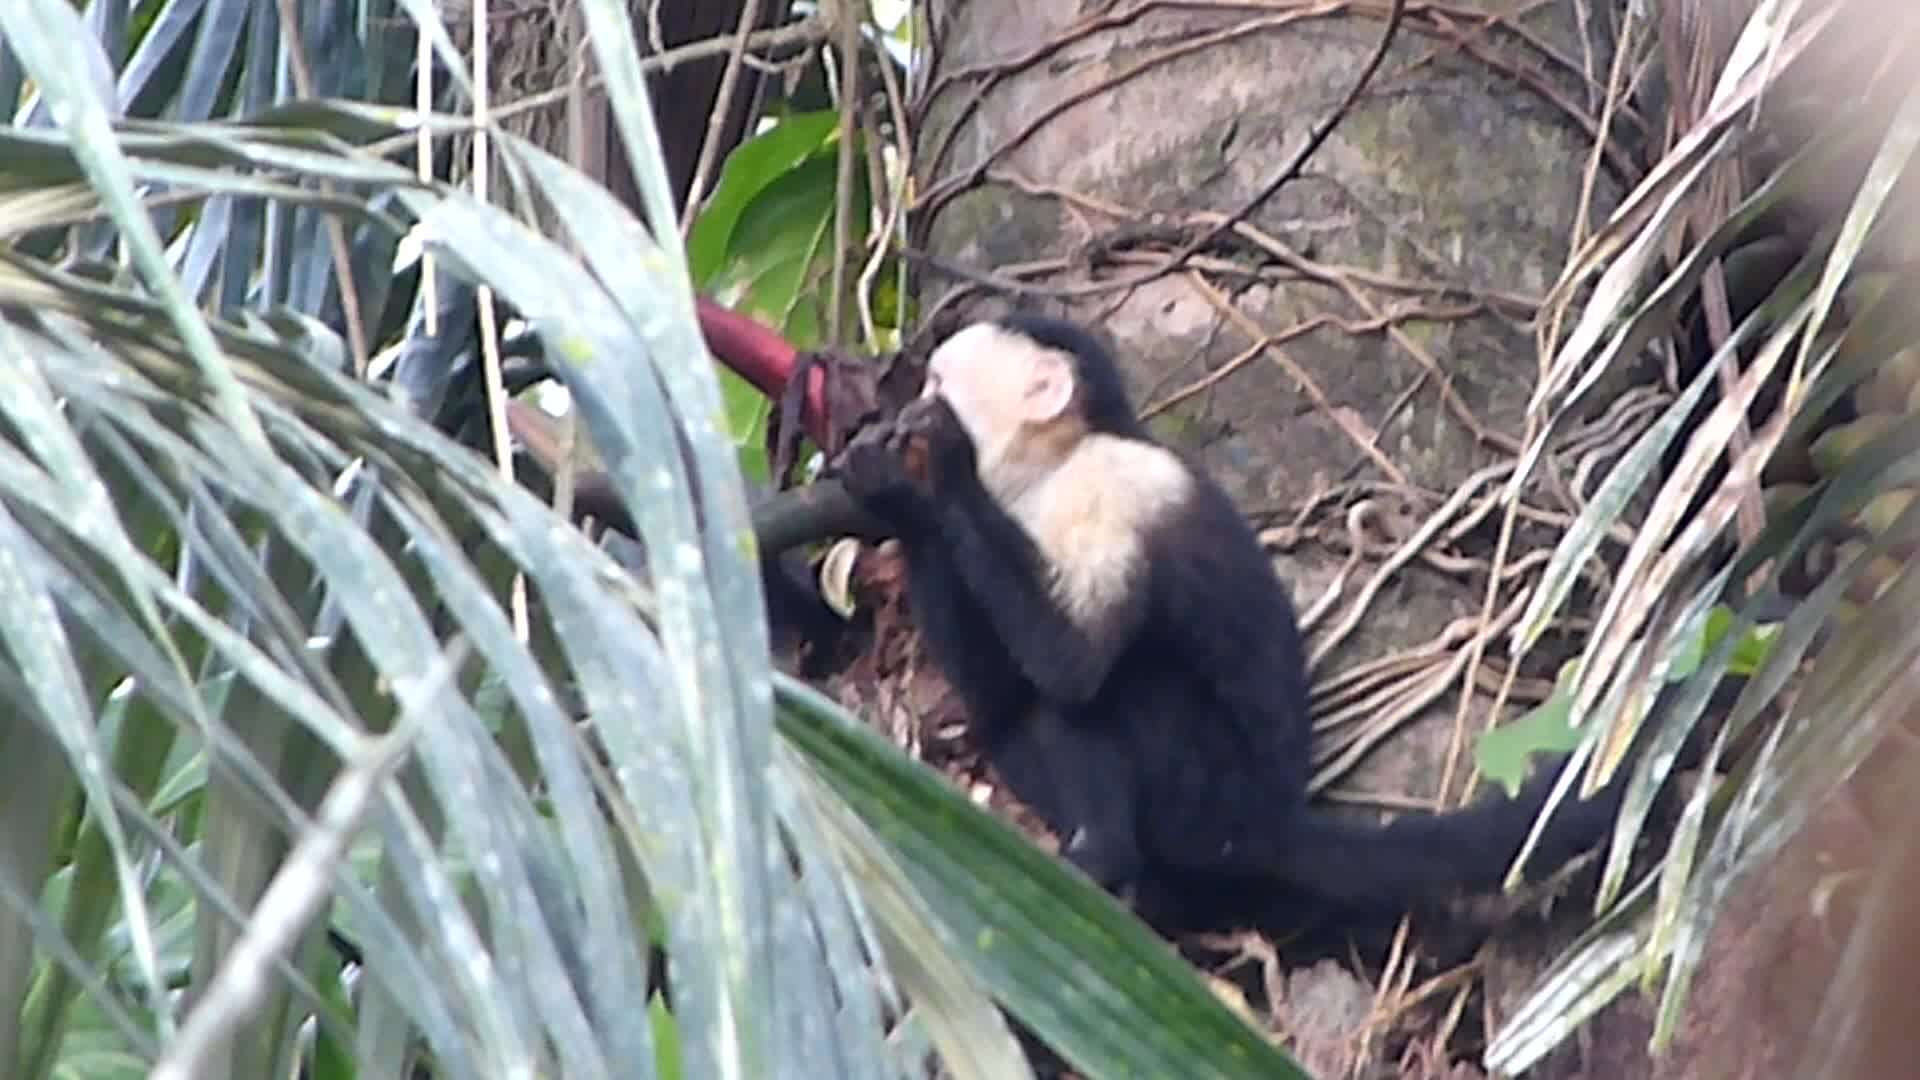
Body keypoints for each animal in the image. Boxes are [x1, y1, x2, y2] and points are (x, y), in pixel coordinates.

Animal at [833, 311, 1674, 933]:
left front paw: (931, 461)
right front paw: (895, 492)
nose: (897, 410)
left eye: (935, 385)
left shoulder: (1110, 488)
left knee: (1117, 690)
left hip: (1209, 796)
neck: (1051, 467)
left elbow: (1072, 663)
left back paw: (1103, 857)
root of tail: (1271, 823)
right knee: (1020, 728)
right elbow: (1001, 690)